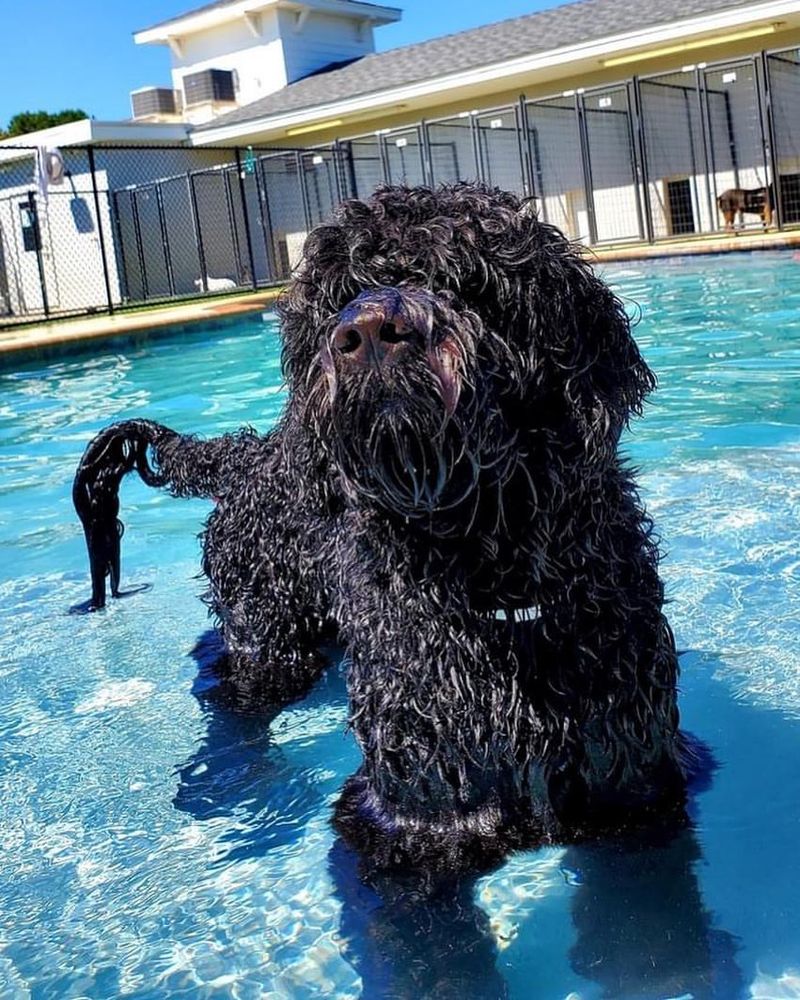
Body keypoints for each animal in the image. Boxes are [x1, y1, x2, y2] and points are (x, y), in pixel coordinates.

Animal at [73, 184, 688, 872]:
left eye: (459, 278)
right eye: (340, 294)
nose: (367, 330)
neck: (492, 582)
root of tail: (249, 456)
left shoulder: (631, 785)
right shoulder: (412, 808)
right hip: (267, 633)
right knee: (232, 697)